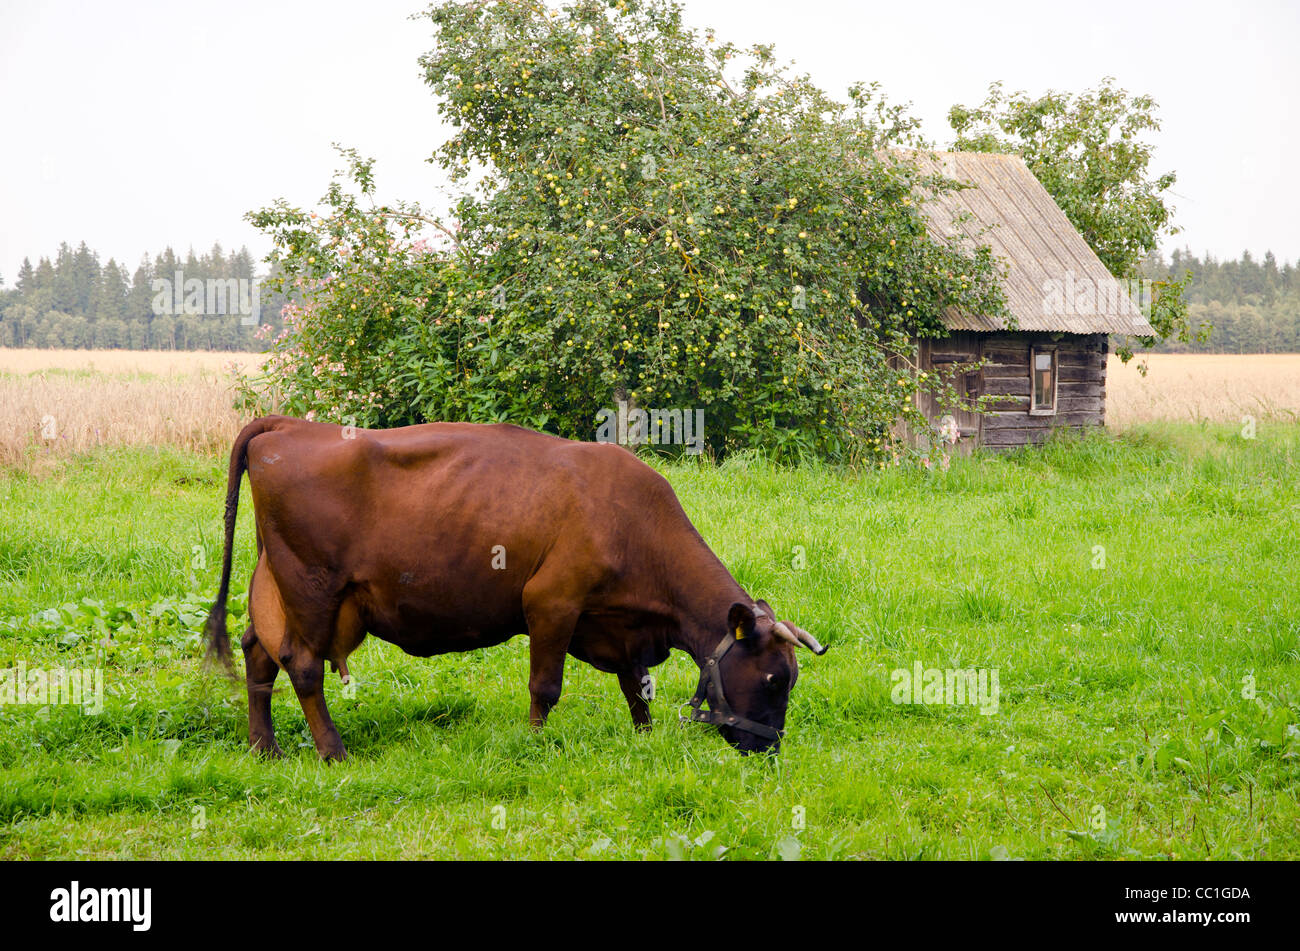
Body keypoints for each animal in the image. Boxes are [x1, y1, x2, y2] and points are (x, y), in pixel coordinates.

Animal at [206, 415, 826, 758]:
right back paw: (333, 752)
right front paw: (533, 742)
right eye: (774, 679)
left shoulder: (618, 624)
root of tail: (290, 424)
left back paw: (265, 748)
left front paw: (645, 737)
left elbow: (637, 685)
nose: (768, 748)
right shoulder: (552, 601)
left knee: (258, 652)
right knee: (303, 666)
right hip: (313, 588)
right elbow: (545, 686)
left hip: (277, 586)